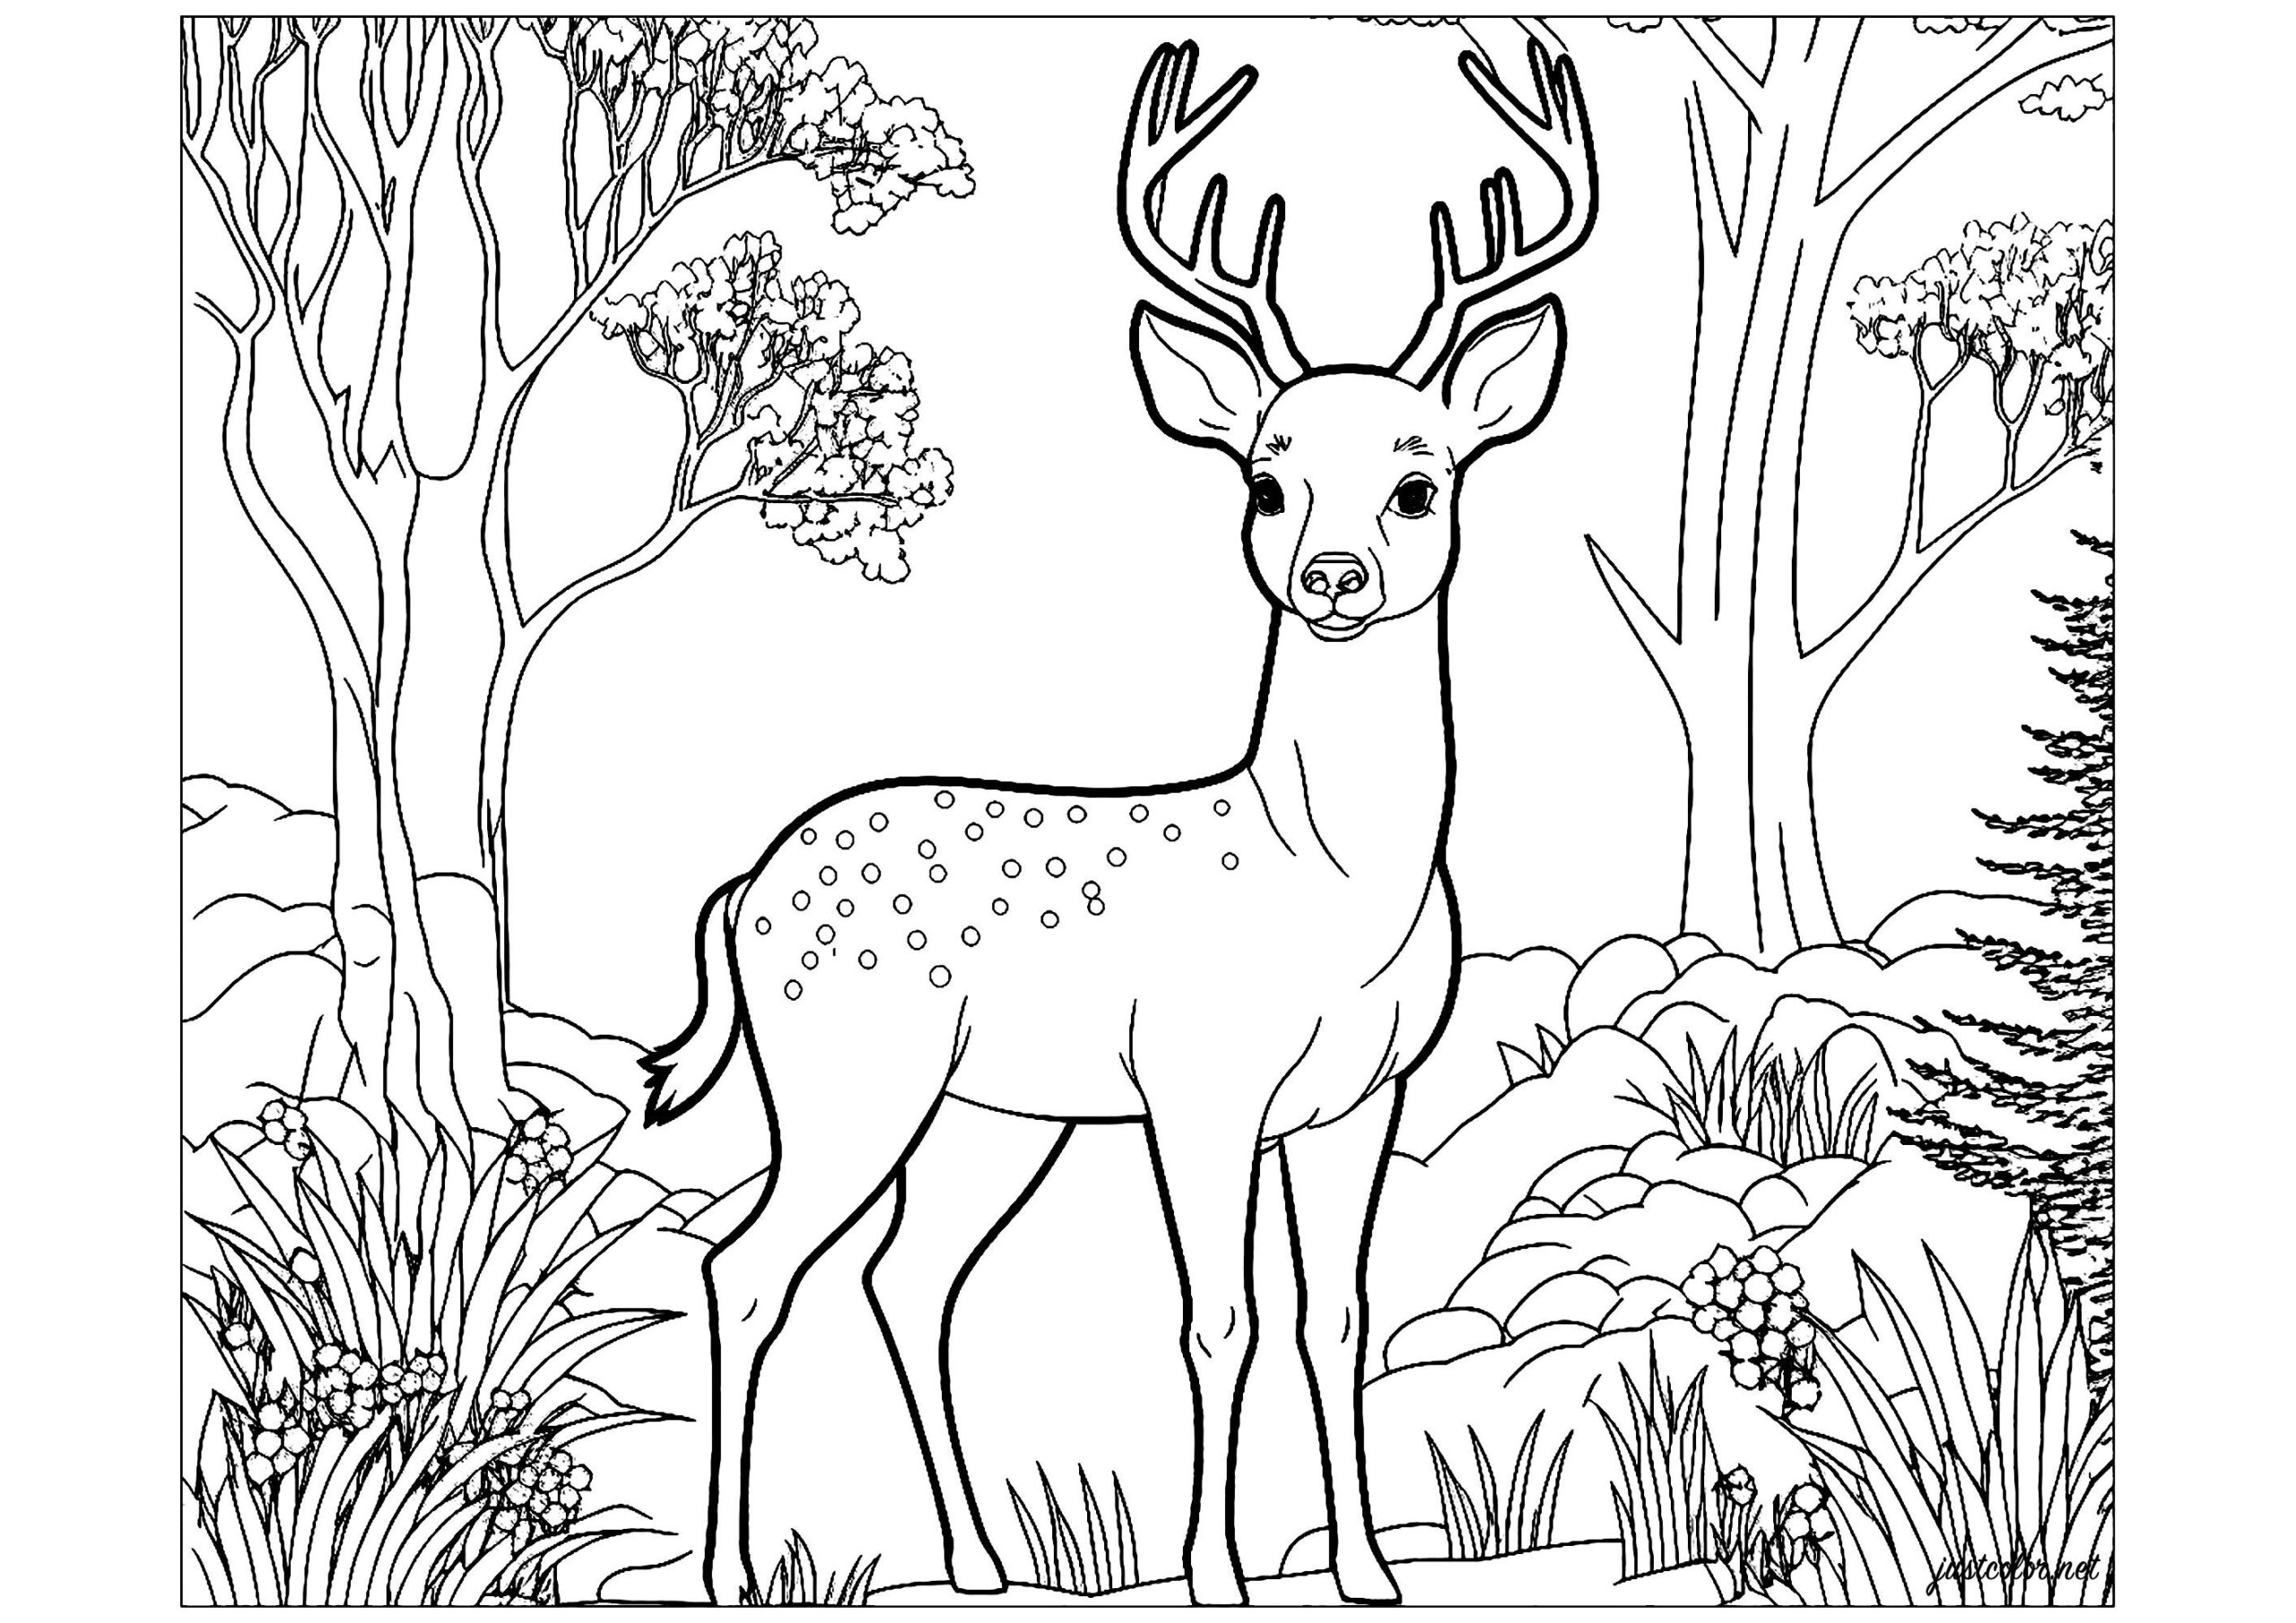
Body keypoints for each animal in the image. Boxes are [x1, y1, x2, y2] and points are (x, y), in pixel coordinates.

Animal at [642, 36, 1595, 1607]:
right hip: (847, 1069)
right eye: (1267, 478)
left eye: (1420, 480)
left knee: (906, 1273)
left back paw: (979, 1562)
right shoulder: (1199, 1078)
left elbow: (1335, 1311)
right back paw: (726, 1570)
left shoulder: (1367, 1092)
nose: (1333, 574)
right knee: (747, 1262)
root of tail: (738, 889)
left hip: (986, 1110)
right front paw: (1219, 1573)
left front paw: (1366, 1570)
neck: (1335, 884)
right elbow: (1218, 1315)